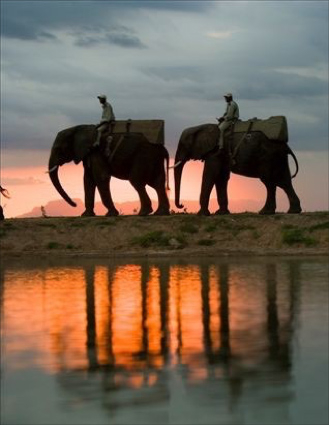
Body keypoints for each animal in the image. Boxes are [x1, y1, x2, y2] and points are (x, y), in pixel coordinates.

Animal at [173, 123, 302, 215]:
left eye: (183, 145)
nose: (182, 205)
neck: (201, 126)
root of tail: (285, 145)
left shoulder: (216, 152)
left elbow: (210, 175)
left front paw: (202, 214)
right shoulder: (222, 155)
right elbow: (221, 178)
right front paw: (221, 213)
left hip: (268, 156)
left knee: (270, 181)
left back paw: (265, 212)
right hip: (278, 157)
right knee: (284, 181)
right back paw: (292, 211)